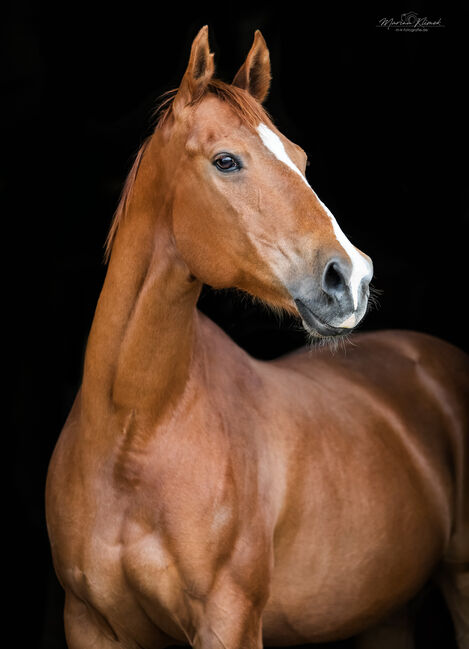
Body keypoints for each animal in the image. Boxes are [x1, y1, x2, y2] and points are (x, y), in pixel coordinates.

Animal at [46, 26, 468, 648]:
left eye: (300, 158)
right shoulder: (89, 623)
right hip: (384, 616)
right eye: (226, 161)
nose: (352, 278)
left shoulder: (230, 620)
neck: (133, 431)